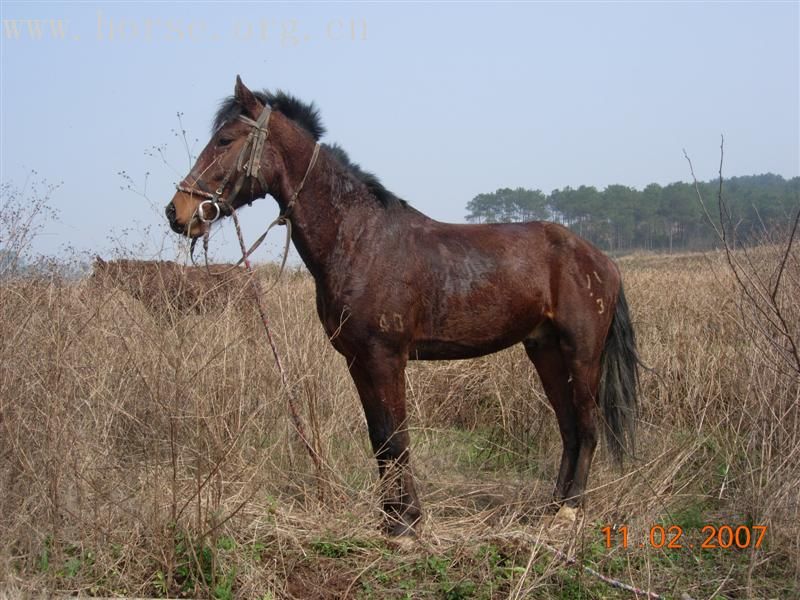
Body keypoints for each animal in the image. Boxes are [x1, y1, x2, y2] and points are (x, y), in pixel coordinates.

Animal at [162, 77, 636, 536]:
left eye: (225, 139)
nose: (177, 212)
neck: (359, 239)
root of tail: (602, 260)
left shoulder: (385, 356)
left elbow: (395, 438)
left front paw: (407, 522)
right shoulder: (357, 360)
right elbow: (379, 438)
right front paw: (390, 518)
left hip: (582, 353)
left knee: (587, 426)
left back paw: (569, 512)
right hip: (545, 350)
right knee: (569, 428)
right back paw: (550, 509)